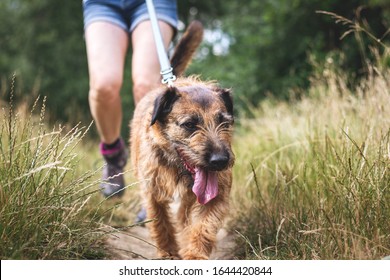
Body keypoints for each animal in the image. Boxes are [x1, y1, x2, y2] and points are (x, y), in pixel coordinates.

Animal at [130, 20, 235, 260]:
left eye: (224, 122)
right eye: (189, 125)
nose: (220, 161)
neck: (177, 167)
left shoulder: (215, 194)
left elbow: (204, 225)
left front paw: (195, 254)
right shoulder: (152, 192)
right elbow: (161, 223)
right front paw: (169, 252)